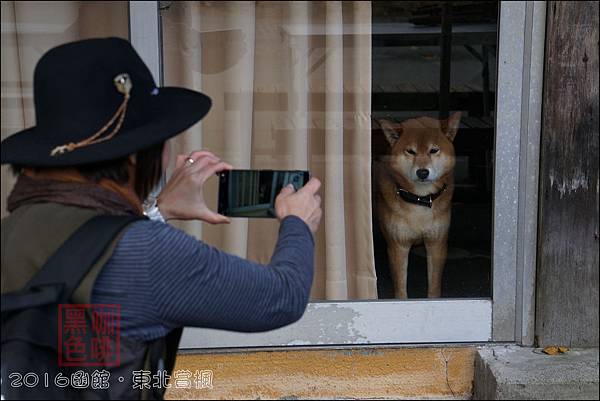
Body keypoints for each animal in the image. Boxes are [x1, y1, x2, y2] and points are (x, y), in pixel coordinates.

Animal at [372, 112, 462, 296]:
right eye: (410, 151)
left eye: (433, 150)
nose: (422, 172)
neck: (420, 200)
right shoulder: (398, 246)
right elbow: (401, 290)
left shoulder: (437, 243)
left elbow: (434, 287)